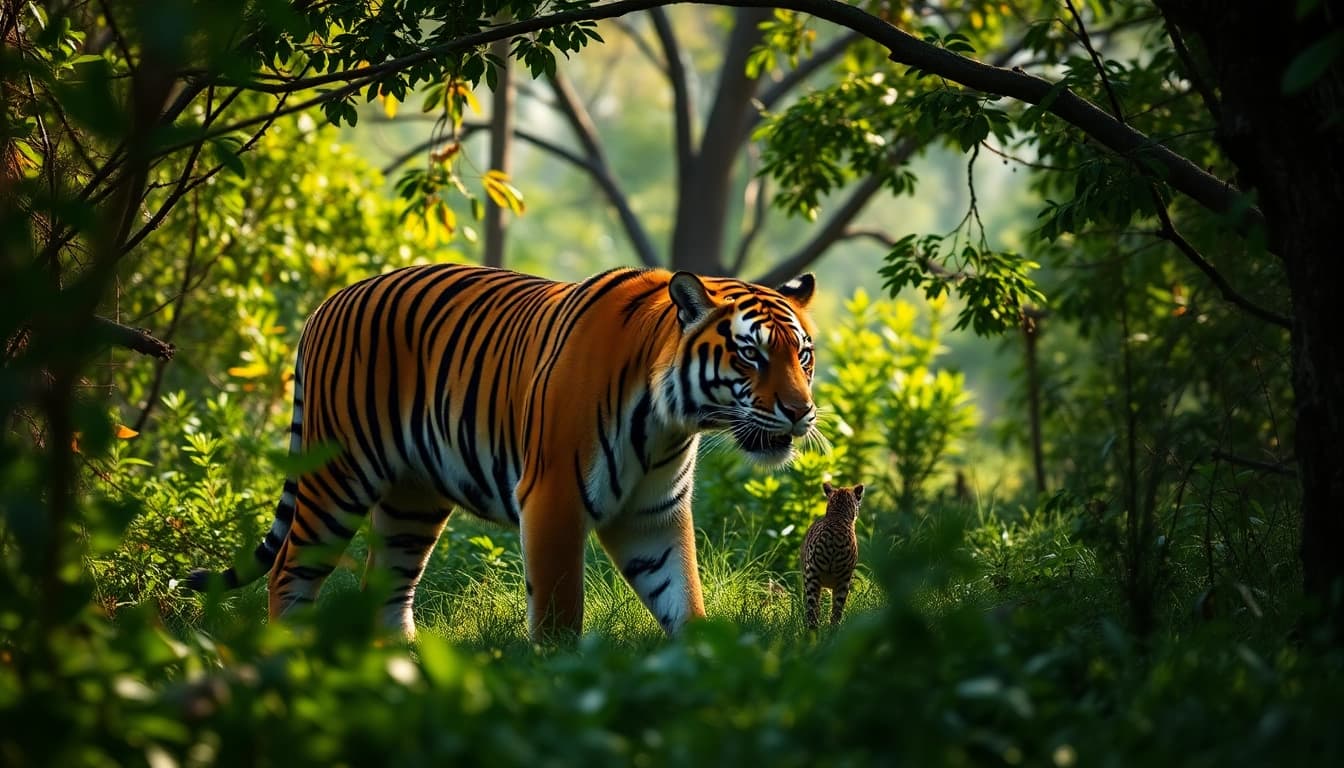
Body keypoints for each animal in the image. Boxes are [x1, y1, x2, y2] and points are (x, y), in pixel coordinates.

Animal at [187, 264, 819, 640]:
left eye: (803, 356)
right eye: (751, 355)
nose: (801, 411)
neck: (670, 419)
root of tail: (330, 302)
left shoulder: (652, 513)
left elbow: (682, 595)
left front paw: (709, 663)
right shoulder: (555, 497)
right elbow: (561, 608)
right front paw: (559, 679)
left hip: (412, 500)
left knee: (387, 582)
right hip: (335, 476)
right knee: (289, 571)